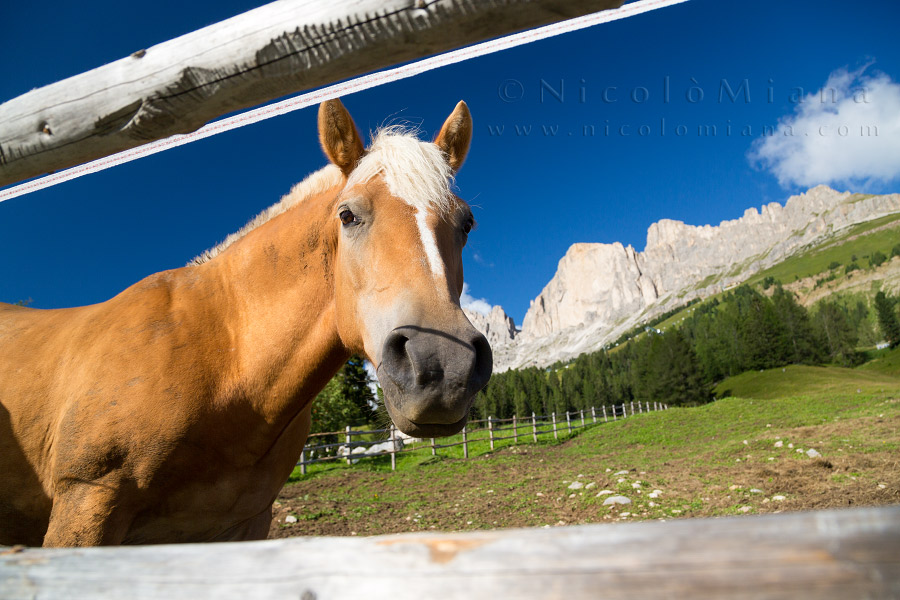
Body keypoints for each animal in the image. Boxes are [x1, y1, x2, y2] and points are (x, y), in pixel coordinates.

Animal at [0, 99, 492, 547]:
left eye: (467, 223)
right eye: (347, 215)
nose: (443, 367)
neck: (225, 361)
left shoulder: (243, 527)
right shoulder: (86, 505)